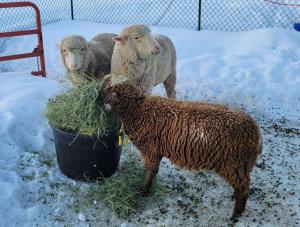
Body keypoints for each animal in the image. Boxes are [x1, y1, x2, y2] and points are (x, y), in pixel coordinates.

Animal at [100, 73, 262, 219]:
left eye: (106, 88)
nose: (97, 95)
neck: (138, 109)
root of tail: (255, 133)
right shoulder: (156, 151)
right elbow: (153, 170)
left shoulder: (150, 150)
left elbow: (150, 171)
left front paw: (144, 190)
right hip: (239, 166)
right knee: (241, 185)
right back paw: (234, 197)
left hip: (233, 163)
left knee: (244, 187)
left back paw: (236, 214)